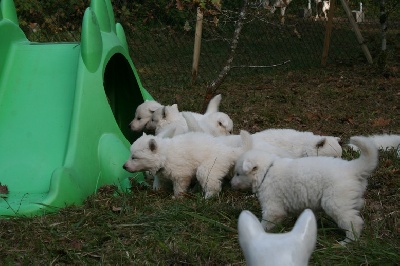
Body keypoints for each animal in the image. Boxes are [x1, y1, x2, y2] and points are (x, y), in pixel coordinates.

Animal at [123, 130, 252, 198]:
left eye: (134, 157)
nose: (124, 166)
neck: (165, 155)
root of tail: (228, 150)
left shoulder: (181, 174)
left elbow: (179, 186)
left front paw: (177, 197)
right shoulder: (161, 174)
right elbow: (158, 183)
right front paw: (155, 191)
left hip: (208, 167)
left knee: (211, 183)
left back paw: (207, 197)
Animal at [231, 136, 378, 244]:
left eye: (238, 174)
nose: (231, 184)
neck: (267, 171)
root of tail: (353, 168)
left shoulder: (272, 206)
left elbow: (267, 221)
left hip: (336, 202)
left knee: (354, 222)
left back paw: (347, 242)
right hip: (351, 199)